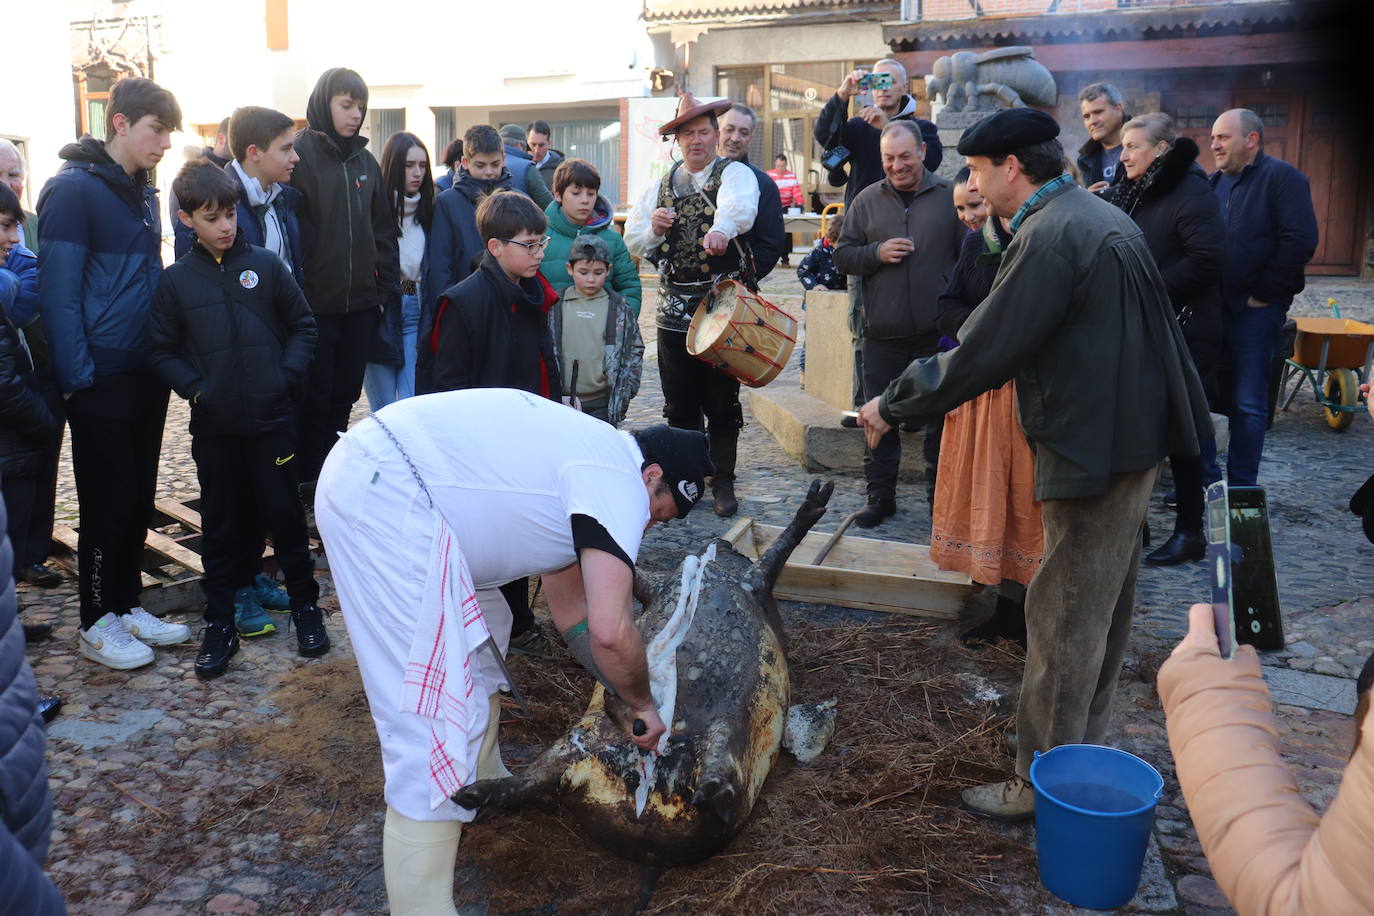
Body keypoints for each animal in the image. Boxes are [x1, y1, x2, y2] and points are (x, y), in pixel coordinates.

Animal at [456, 480, 829, 867]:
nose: (722, 542)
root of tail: (647, 843)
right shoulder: (676, 586)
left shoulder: (752, 583)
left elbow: (775, 554)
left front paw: (818, 498)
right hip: (579, 739)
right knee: (538, 778)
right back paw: (472, 794)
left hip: (725, 731)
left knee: (720, 771)